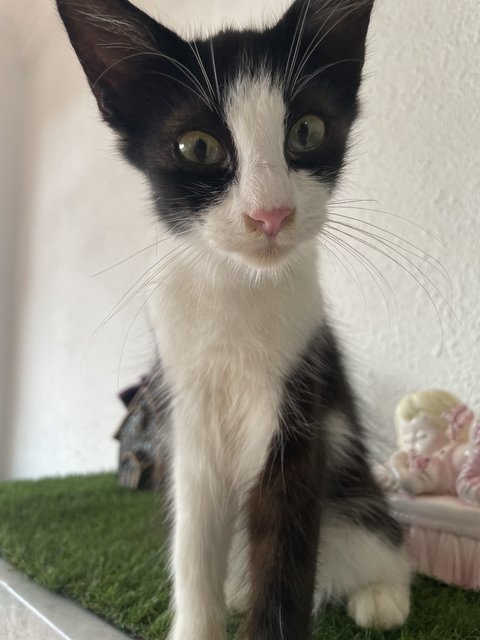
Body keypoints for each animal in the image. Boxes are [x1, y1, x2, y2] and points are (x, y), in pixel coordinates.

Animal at [57, 0, 412, 636]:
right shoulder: (187, 414)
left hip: (356, 496)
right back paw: (240, 594)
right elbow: (194, 542)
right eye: (197, 147)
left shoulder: (299, 407)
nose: (270, 214)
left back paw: (380, 596)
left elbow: (286, 541)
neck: (236, 292)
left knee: (378, 539)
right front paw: (201, 621)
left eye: (307, 130)